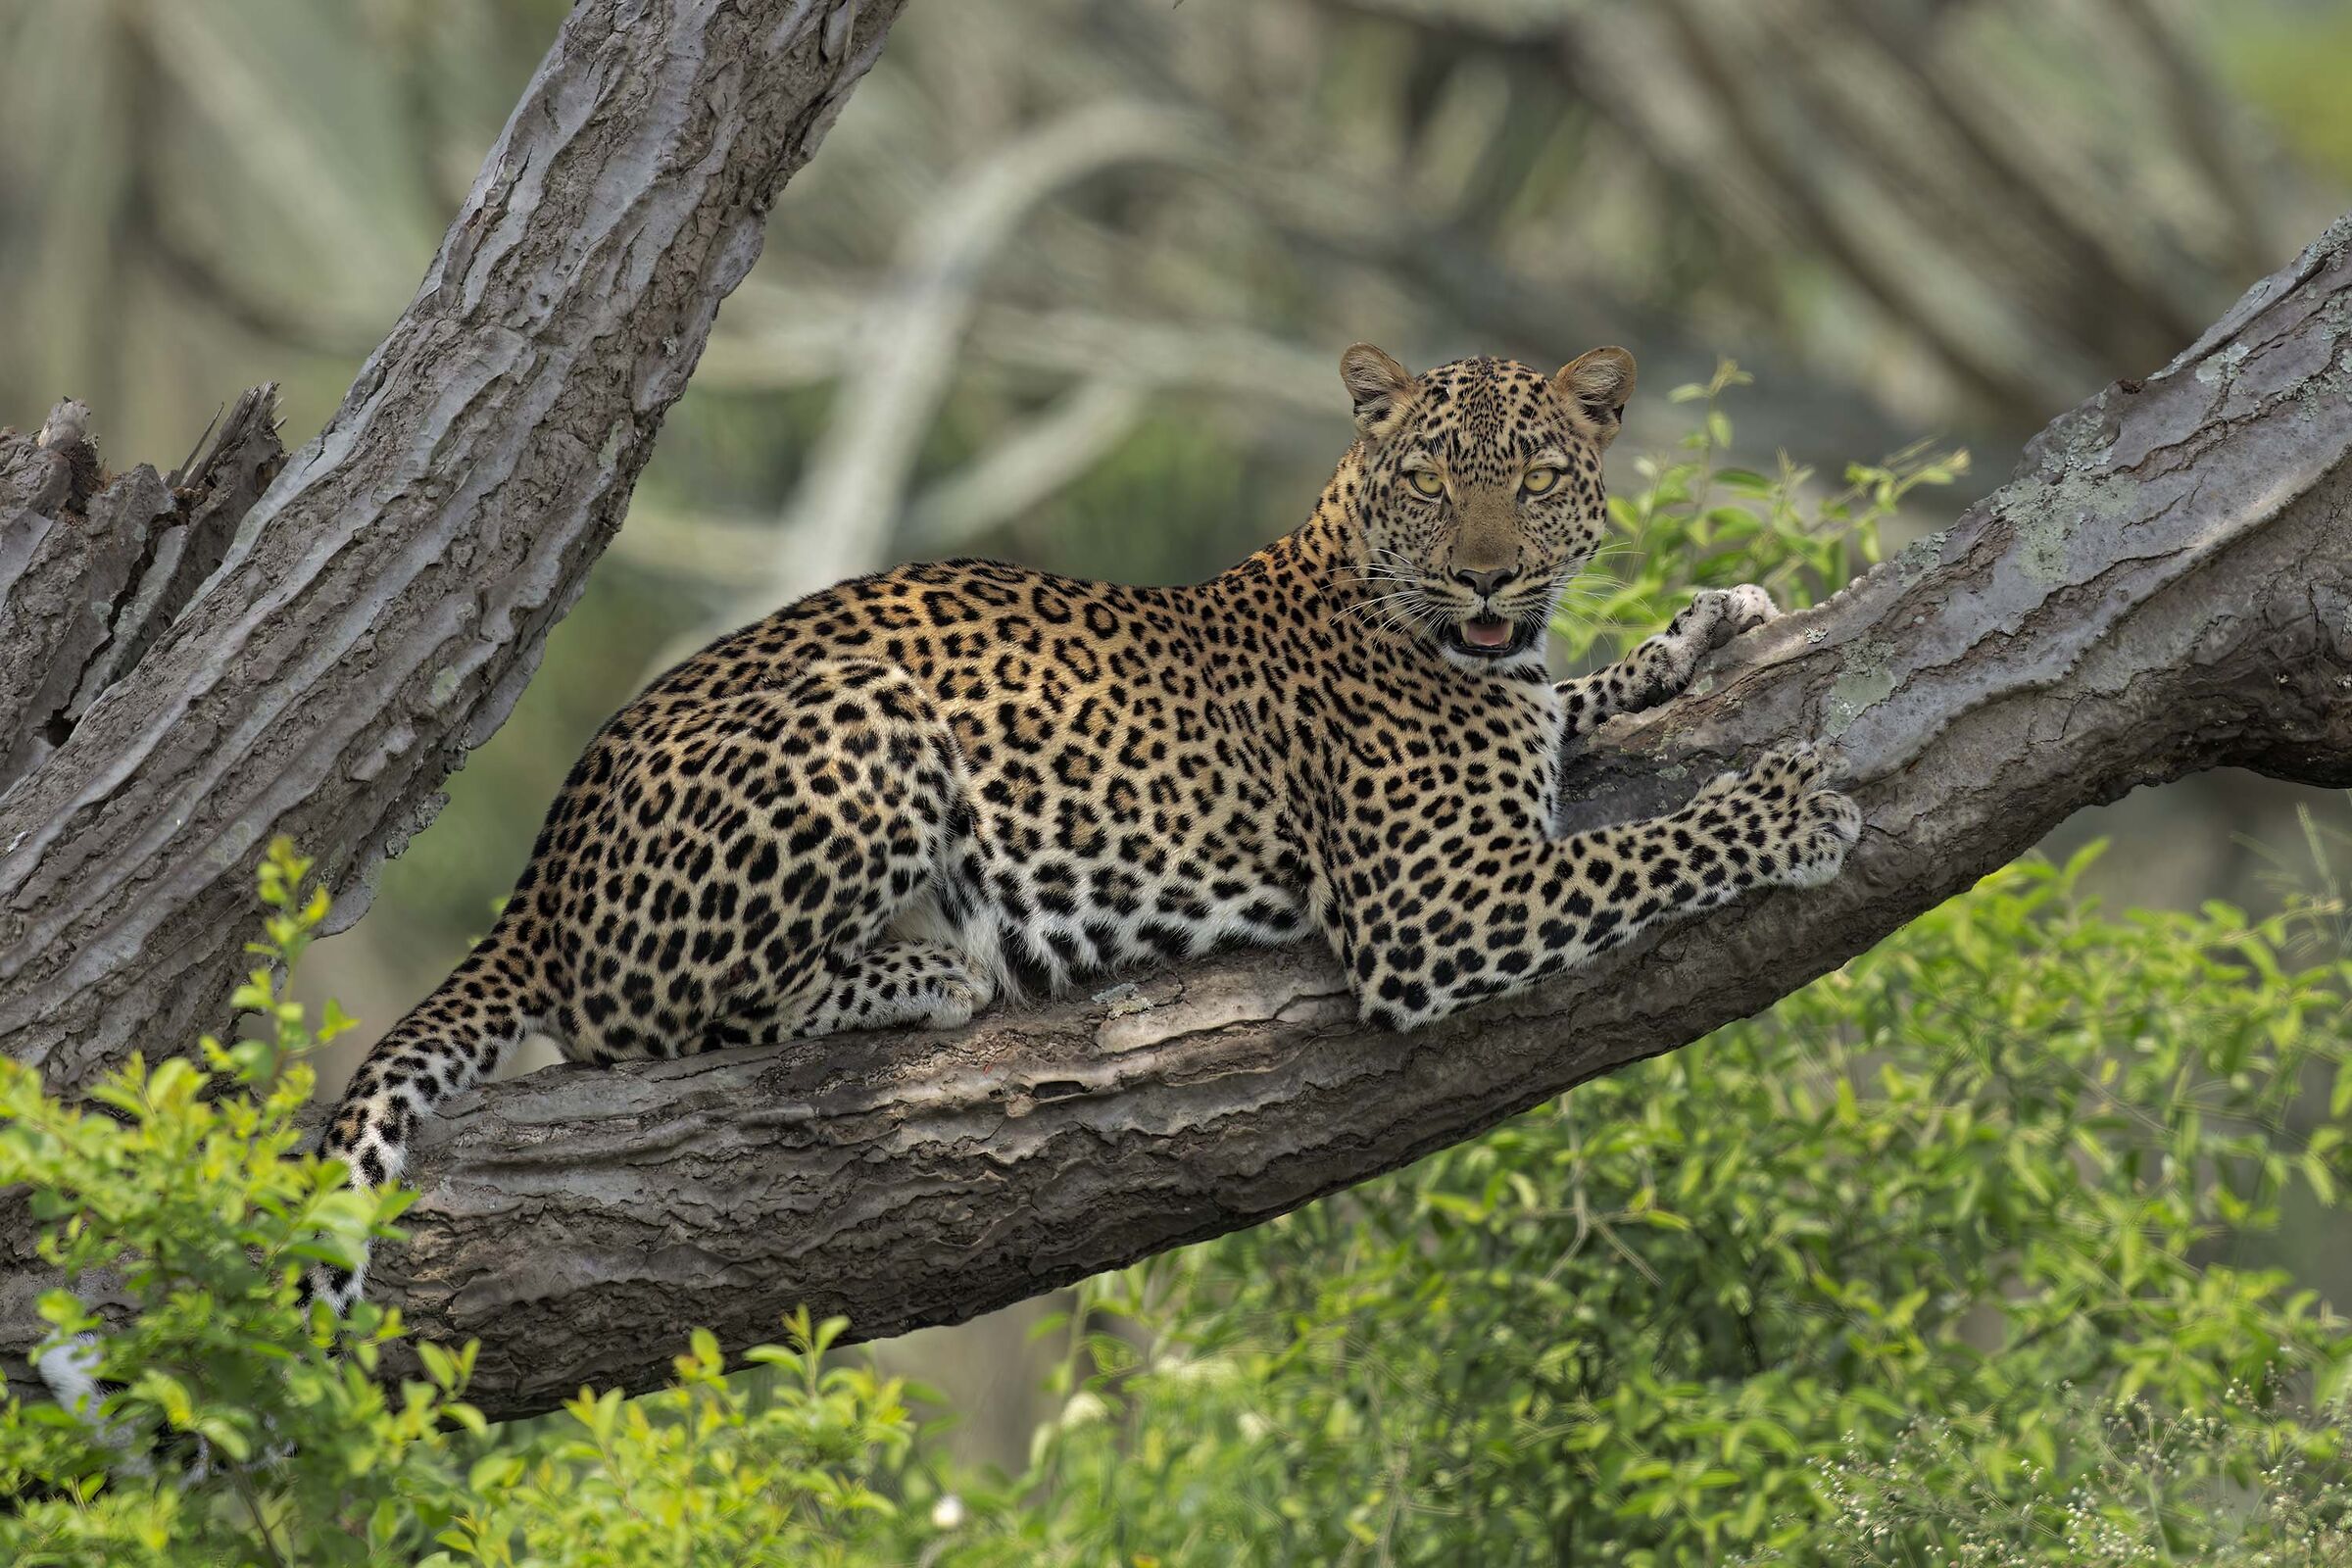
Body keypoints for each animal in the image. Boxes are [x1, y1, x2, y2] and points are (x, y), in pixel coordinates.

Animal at [313, 341, 1860, 1306]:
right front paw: (1791, 803)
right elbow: (1642, 848)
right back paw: (928, 967)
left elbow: (1583, 706)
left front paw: (1712, 622)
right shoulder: (1430, 910)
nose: (1486, 574)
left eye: (1537, 477)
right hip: (866, 720)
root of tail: (543, 863)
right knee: (656, 1021)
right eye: (1428, 480)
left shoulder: (1514, 753)